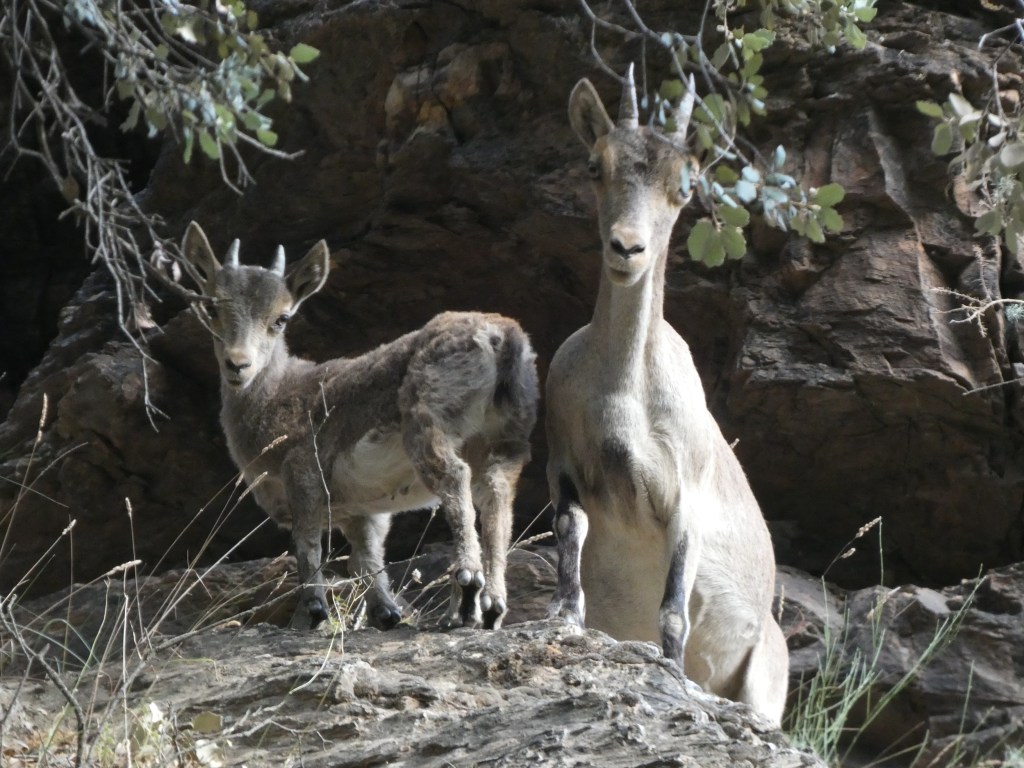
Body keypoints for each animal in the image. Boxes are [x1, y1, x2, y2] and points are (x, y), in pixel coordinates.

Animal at [180, 222, 538, 631]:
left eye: (281, 318)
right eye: (211, 306)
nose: (238, 364)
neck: (275, 397)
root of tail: (503, 339)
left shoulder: (303, 468)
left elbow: (308, 543)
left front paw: (313, 611)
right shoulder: (361, 510)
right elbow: (366, 556)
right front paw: (387, 613)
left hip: (429, 419)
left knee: (455, 476)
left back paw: (465, 594)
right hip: (506, 436)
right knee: (496, 495)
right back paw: (491, 605)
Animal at [545, 68, 789, 725]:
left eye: (686, 184)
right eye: (596, 165)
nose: (627, 249)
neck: (624, 393)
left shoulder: (688, 497)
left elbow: (674, 609)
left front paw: (673, 675)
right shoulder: (564, 468)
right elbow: (571, 534)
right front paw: (567, 620)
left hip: (766, 682)